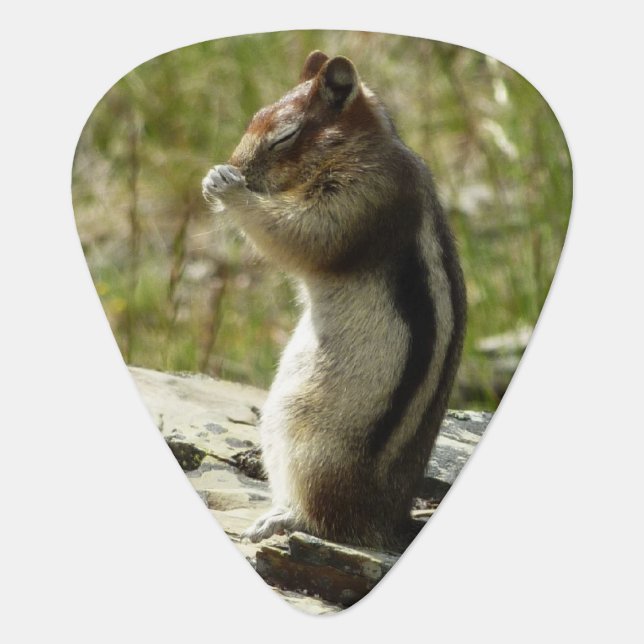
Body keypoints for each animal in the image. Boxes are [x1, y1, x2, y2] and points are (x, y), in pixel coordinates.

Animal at [202, 51, 466, 550]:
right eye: (253, 117)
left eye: (284, 136)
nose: (235, 165)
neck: (362, 145)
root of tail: (386, 521)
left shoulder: (362, 196)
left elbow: (305, 235)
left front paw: (228, 187)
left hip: (303, 435)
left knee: (324, 519)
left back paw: (280, 518)